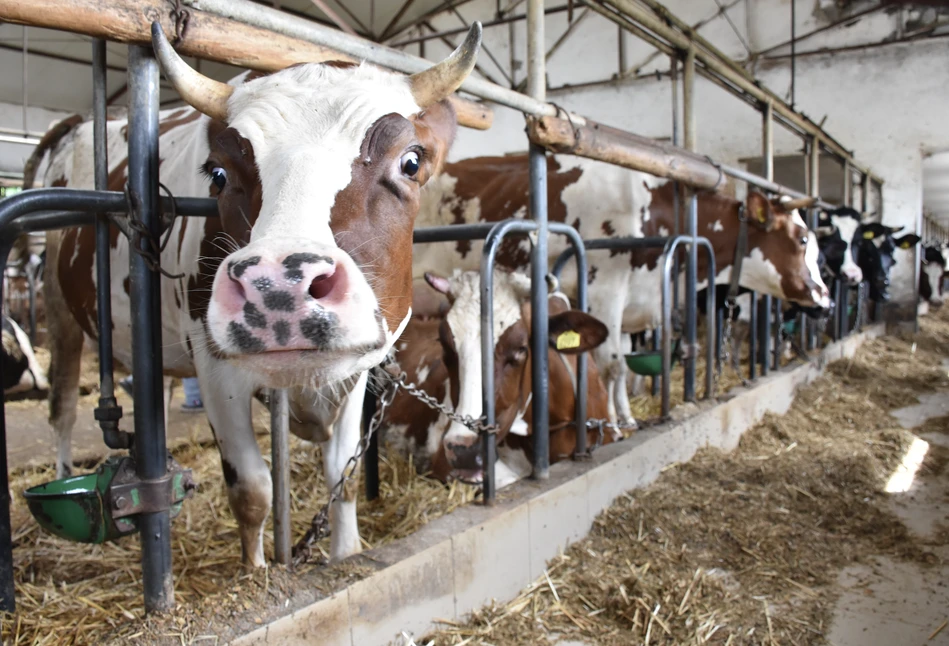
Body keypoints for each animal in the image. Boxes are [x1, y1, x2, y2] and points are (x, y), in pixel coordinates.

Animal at [34, 21, 486, 568]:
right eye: (218, 173)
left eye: (412, 162)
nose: (280, 285)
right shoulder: (214, 368)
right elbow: (251, 489)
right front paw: (255, 572)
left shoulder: (357, 370)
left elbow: (343, 474)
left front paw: (346, 553)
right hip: (57, 305)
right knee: (61, 403)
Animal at [412, 156, 824, 430]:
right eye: (803, 238)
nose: (824, 297)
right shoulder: (605, 289)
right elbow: (611, 364)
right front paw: (611, 422)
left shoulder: (632, 305)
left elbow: (623, 363)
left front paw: (625, 414)